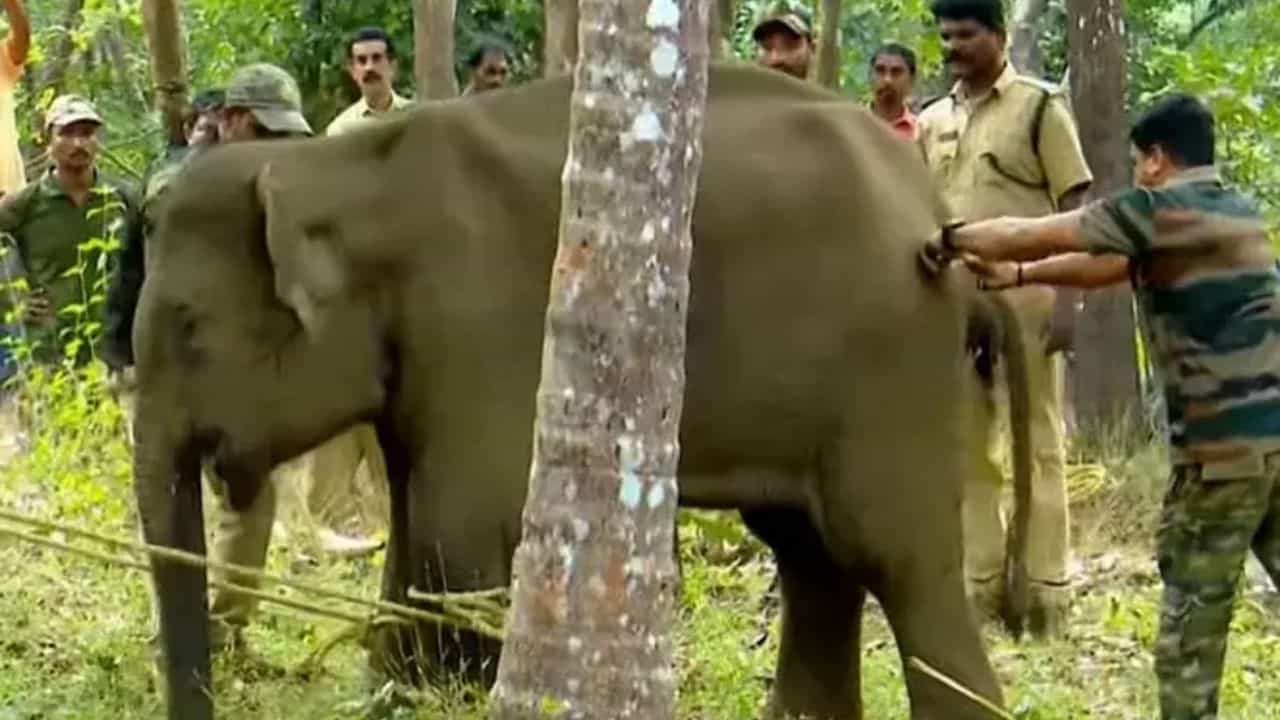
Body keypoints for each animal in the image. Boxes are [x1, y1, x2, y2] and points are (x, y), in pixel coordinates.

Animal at [131, 62, 1032, 720]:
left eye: (189, 326)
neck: (341, 166)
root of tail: (941, 228)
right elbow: (415, 530)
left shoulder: (484, 323)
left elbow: (462, 533)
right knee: (812, 556)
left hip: (891, 367)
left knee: (894, 558)